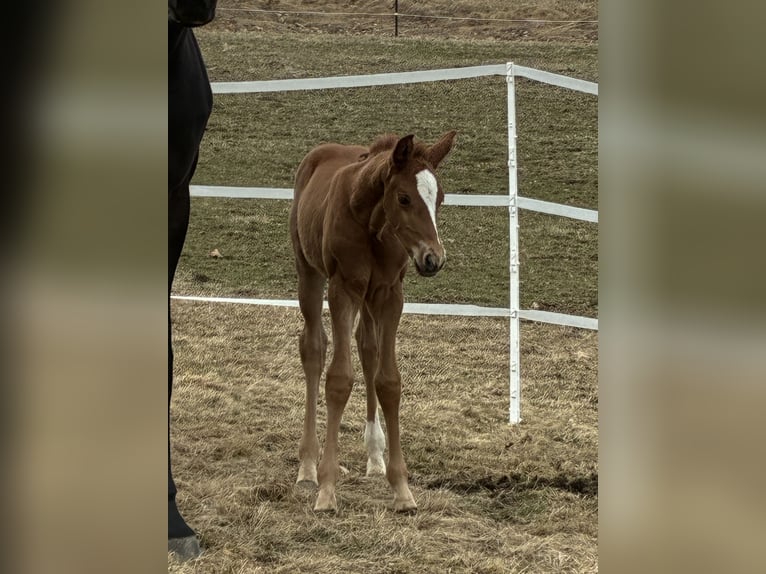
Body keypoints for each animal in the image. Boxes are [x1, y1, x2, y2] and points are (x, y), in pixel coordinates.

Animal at [290, 131, 457, 512]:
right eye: (404, 197)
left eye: (439, 198)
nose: (433, 258)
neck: (371, 223)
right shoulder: (343, 289)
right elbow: (338, 379)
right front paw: (327, 488)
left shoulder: (390, 294)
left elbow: (388, 381)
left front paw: (402, 488)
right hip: (309, 272)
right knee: (314, 349)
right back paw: (307, 465)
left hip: (369, 299)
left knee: (367, 349)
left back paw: (375, 457)